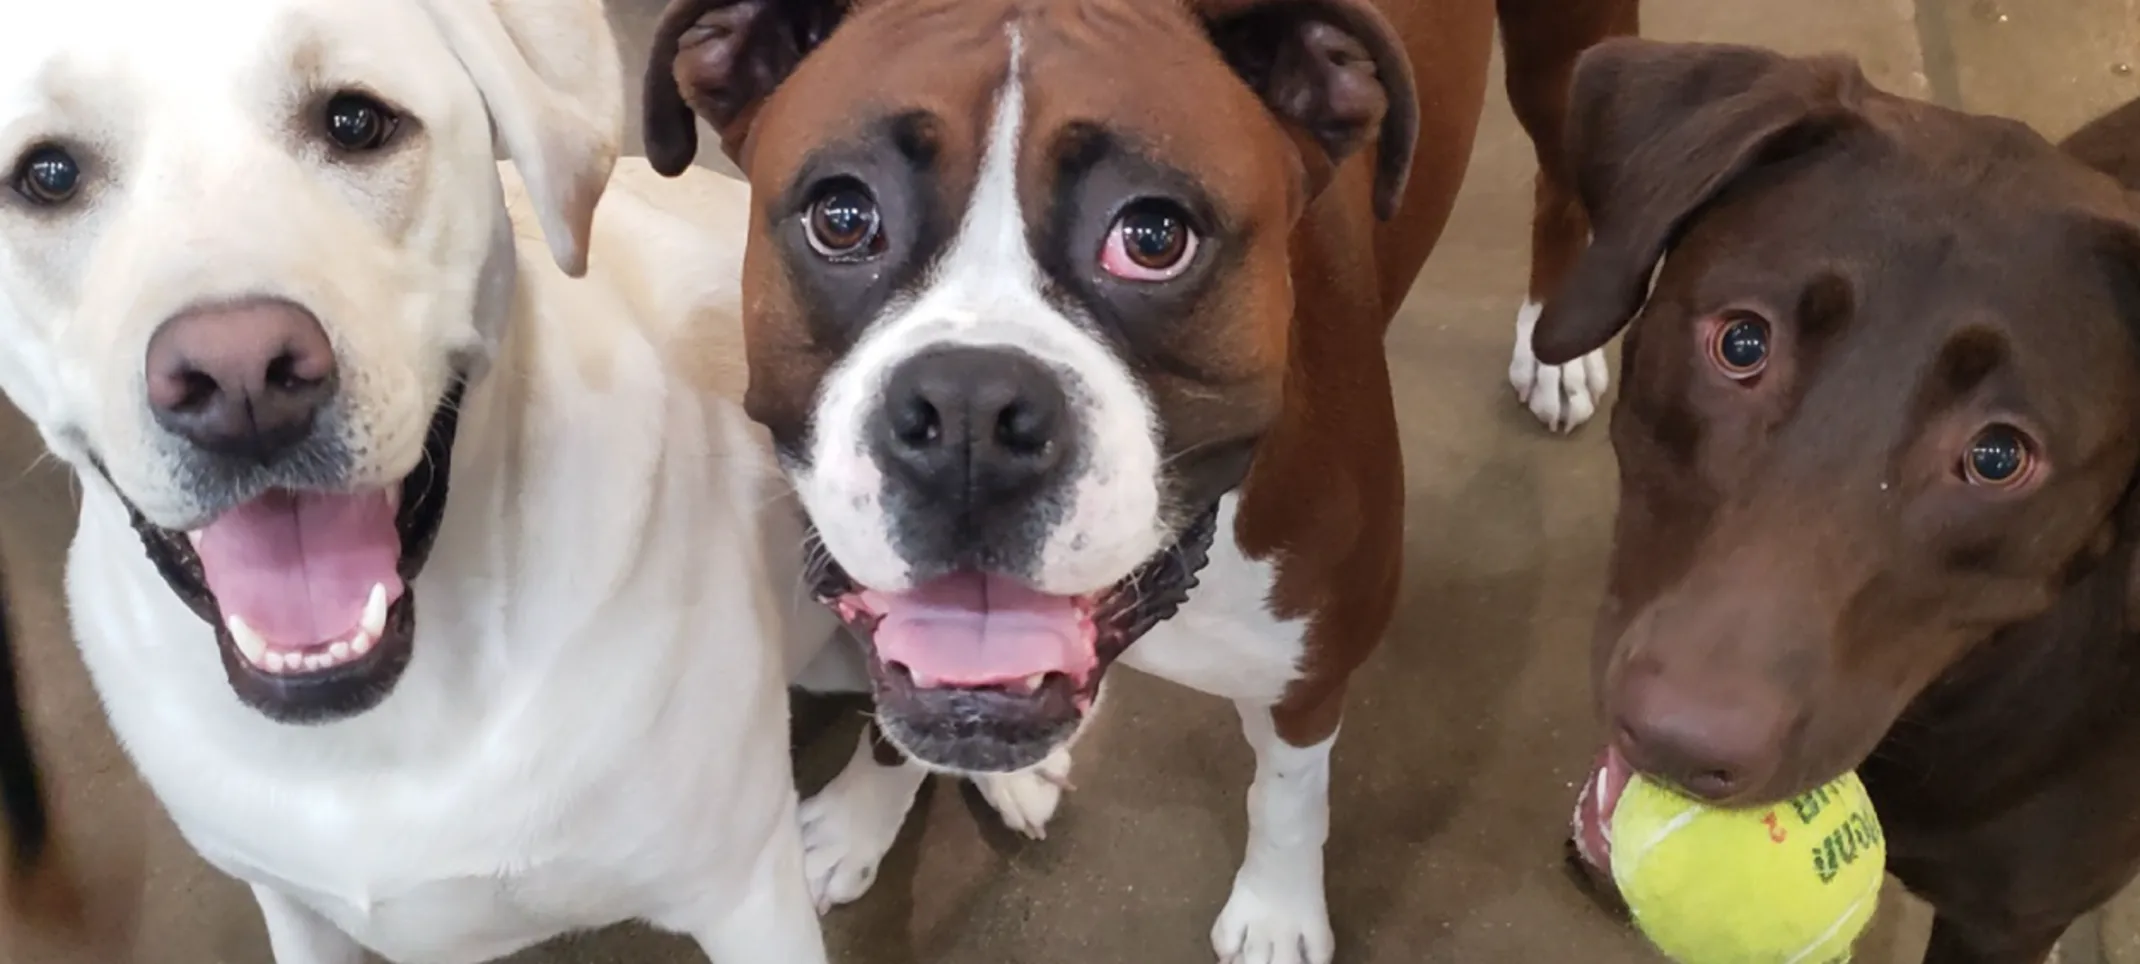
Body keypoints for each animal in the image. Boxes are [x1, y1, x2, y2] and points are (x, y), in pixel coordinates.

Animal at [0, 1, 830, 964]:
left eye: (356, 122)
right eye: (47, 175)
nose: (241, 380)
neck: (391, 726)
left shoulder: (746, 892)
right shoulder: (296, 911)